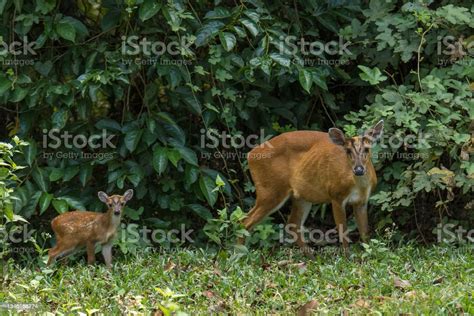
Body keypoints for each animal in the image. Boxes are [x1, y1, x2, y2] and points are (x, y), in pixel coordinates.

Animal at [243, 119, 384, 256]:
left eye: (367, 149)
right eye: (348, 151)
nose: (359, 170)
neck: (359, 186)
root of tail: (250, 155)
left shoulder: (362, 201)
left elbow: (365, 233)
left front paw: (369, 255)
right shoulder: (336, 196)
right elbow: (343, 231)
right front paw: (348, 258)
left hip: (300, 196)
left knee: (293, 223)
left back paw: (311, 256)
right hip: (270, 190)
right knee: (246, 221)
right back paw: (241, 253)